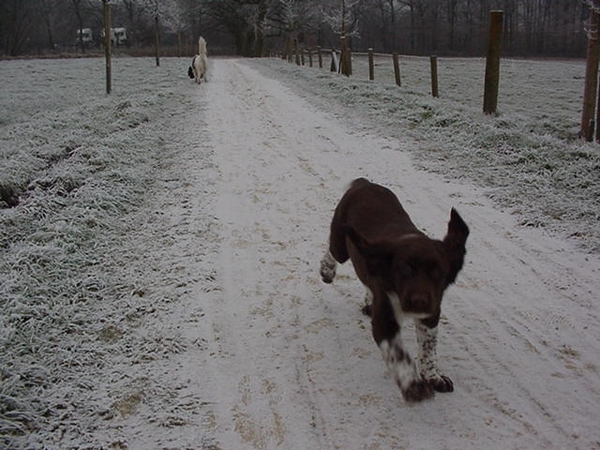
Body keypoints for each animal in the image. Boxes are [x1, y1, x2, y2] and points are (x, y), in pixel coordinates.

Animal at [318, 178, 468, 402]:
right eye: (405, 270)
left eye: (438, 273)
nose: (419, 301)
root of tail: (365, 183)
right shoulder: (385, 320)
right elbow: (398, 354)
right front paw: (413, 385)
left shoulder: (431, 313)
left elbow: (428, 348)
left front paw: (433, 376)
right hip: (340, 241)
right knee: (333, 250)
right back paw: (327, 270)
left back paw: (367, 302)